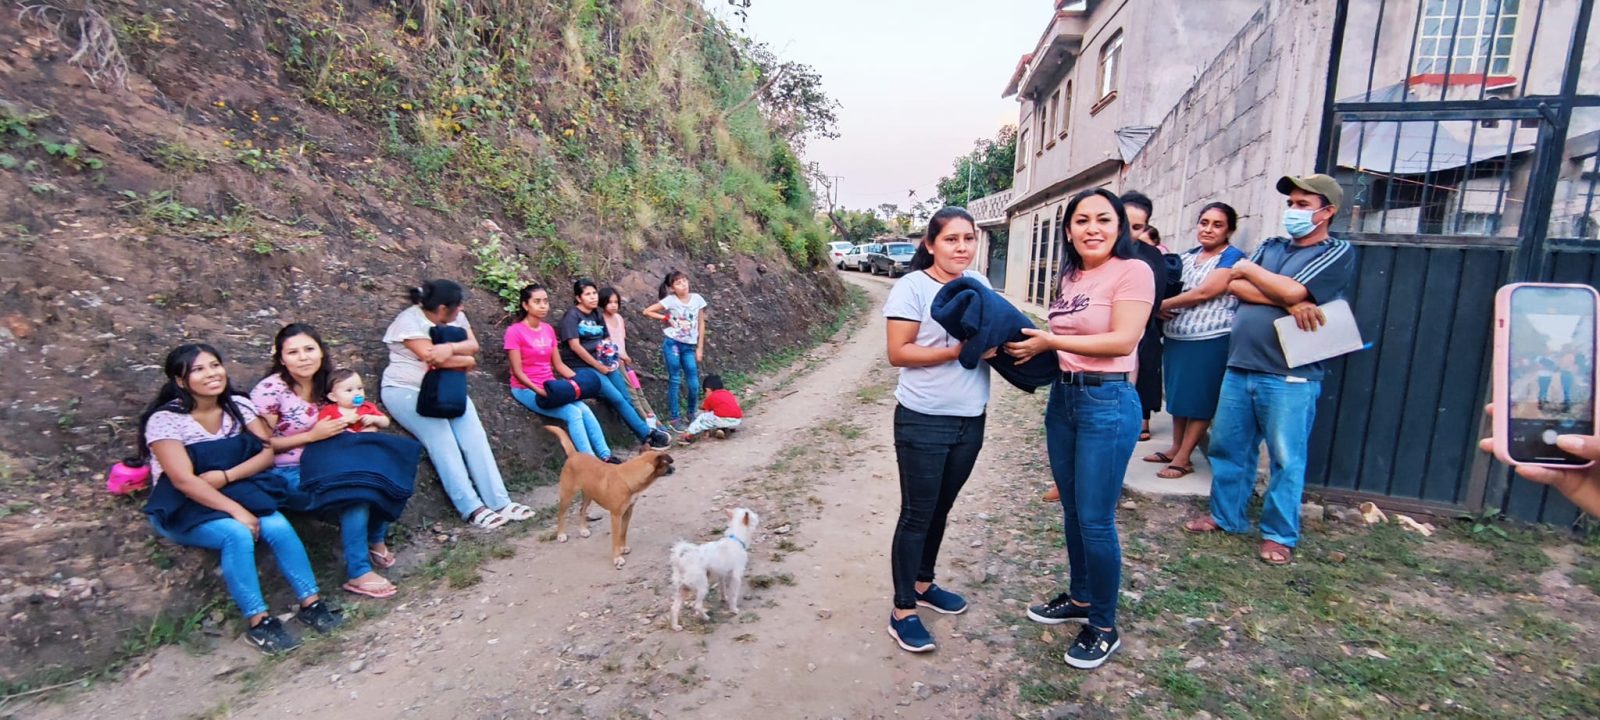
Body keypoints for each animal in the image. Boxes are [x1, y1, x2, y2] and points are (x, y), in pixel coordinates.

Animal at [547, 428, 678, 569]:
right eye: (667, 463)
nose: (674, 469)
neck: (627, 478)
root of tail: (574, 454)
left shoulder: (627, 513)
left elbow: (623, 532)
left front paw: (622, 547)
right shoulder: (615, 516)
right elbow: (615, 538)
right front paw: (617, 558)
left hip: (589, 494)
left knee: (582, 510)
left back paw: (583, 530)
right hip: (567, 495)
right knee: (561, 514)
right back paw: (561, 535)